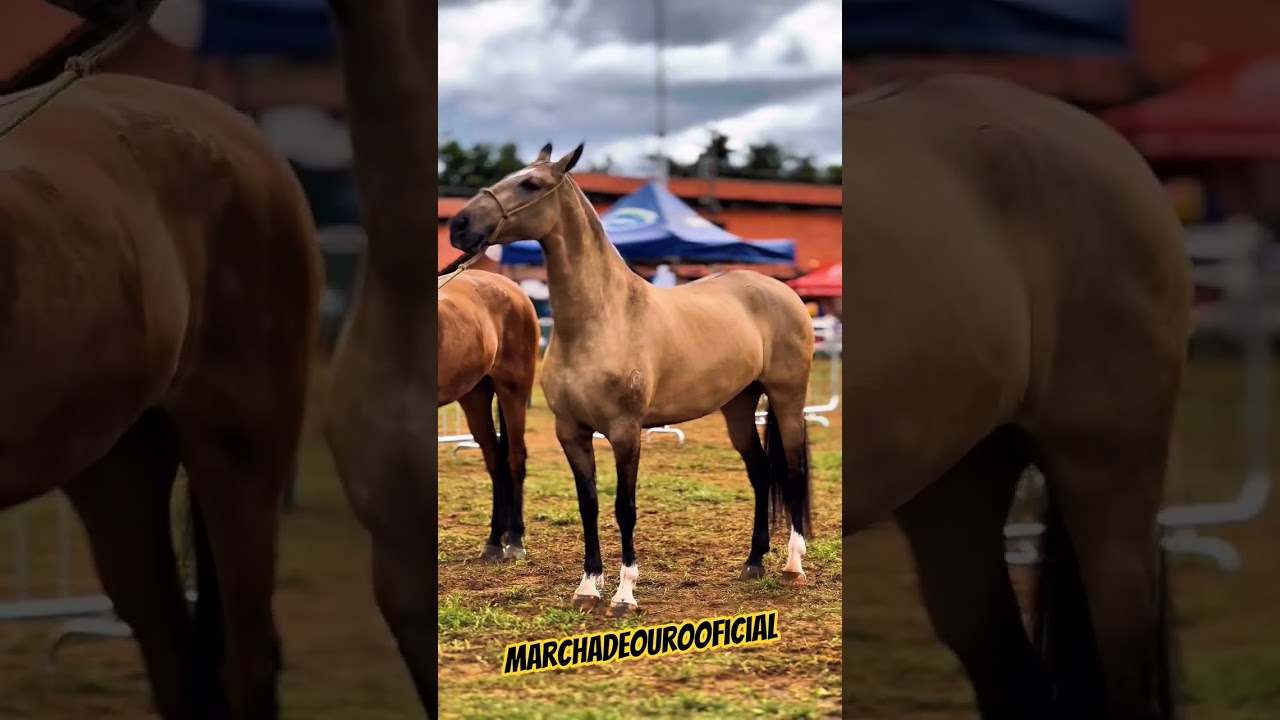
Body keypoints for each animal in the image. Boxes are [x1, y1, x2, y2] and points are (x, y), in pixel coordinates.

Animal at [437, 259, 540, 561]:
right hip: (475, 395)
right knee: (495, 459)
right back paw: (495, 539)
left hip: (514, 391)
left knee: (515, 457)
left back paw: (515, 539)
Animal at [447, 144, 817, 619]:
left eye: (531, 184)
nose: (459, 225)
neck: (604, 318)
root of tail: (785, 292)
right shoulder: (571, 432)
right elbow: (588, 505)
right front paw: (588, 586)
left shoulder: (626, 433)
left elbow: (625, 507)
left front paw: (624, 594)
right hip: (738, 405)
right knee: (761, 472)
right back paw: (753, 562)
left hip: (787, 398)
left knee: (791, 470)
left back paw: (793, 566)